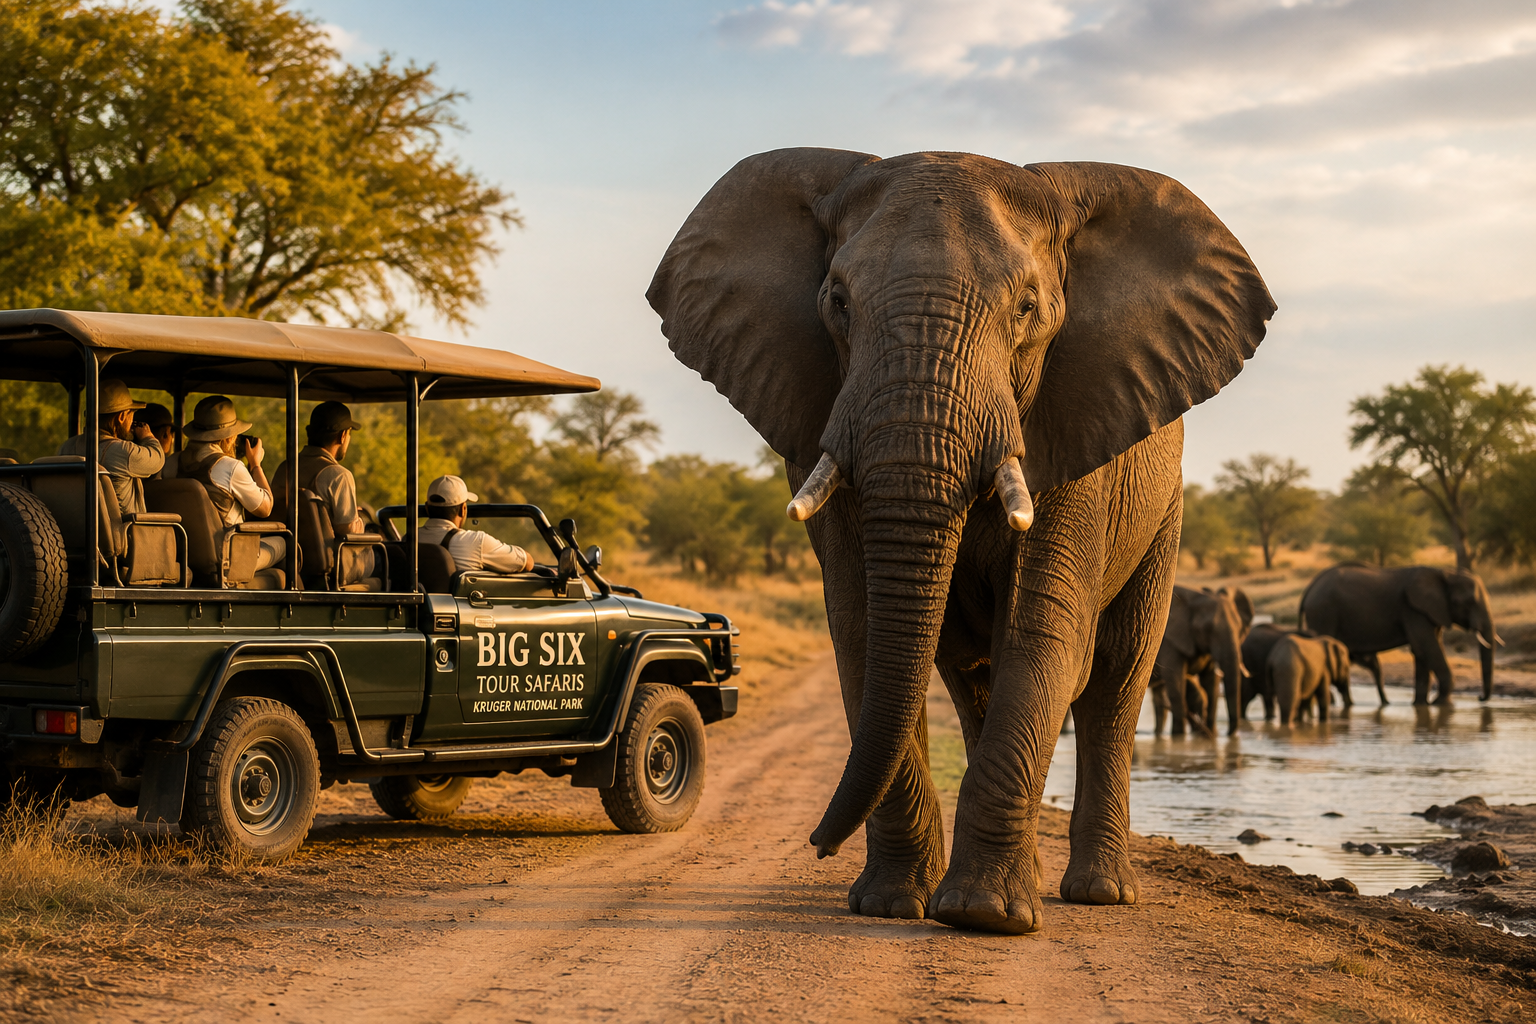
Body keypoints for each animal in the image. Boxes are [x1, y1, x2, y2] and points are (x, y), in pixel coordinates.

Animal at [1150, 586, 1252, 737]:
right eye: (1207, 629)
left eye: (1239, 627)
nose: (1226, 734)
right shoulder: (1169, 643)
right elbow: (1176, 682)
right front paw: (1179, 736)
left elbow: (1211, 684)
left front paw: (1213, 735)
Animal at [1299, 564, 1499, 705]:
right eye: (1469, 601)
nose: (1480, 698)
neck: (1446, 573)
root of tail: (1310, 588)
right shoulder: (1413, 610)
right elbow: (1427, 646)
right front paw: (1441, 705)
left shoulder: (1428, 611)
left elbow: (1423, 650)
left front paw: (1421, 705)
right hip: (1324, 612)